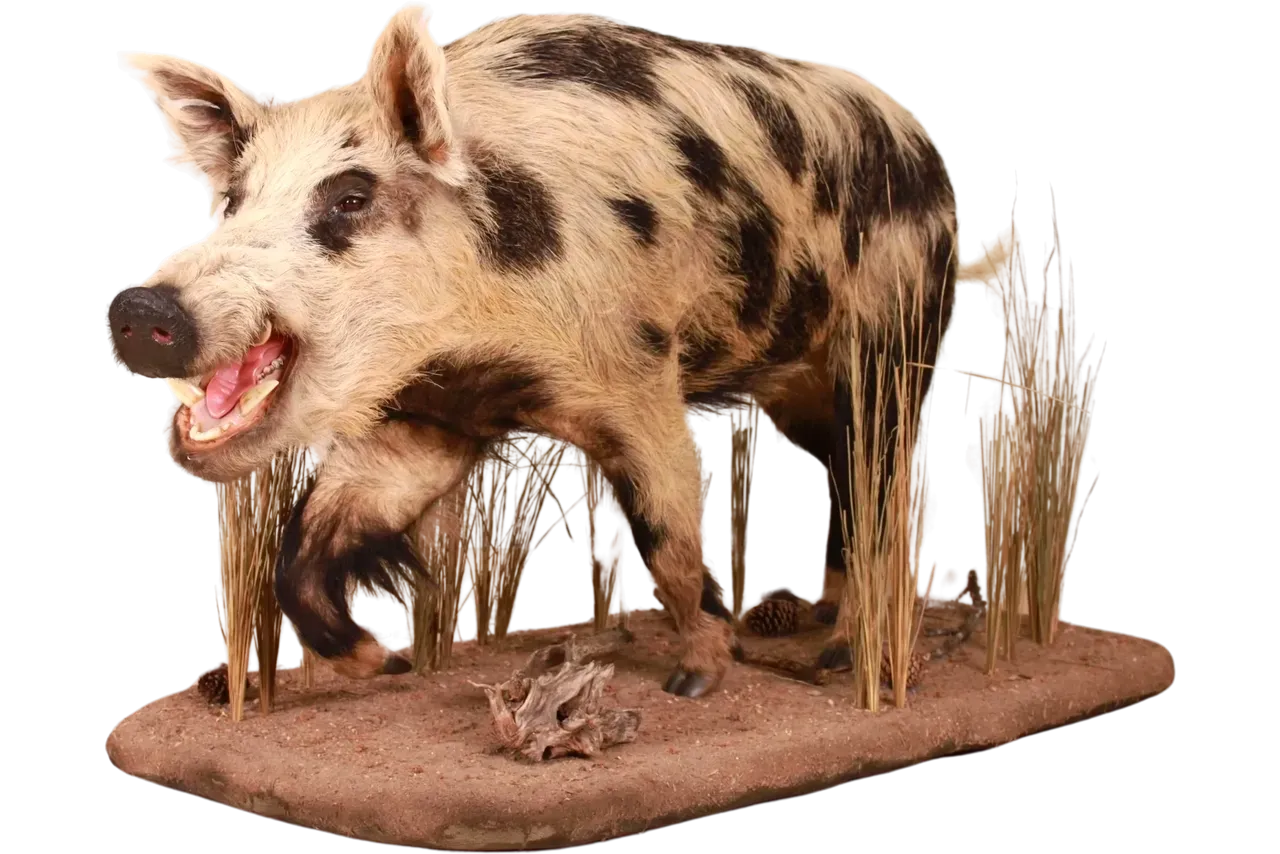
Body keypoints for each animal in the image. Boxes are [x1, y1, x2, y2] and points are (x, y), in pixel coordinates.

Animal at [109, 4, 1007, 698]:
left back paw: (840, 657)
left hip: (889, 342)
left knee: (893, 488)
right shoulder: (429, 419)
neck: (483, 345)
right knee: (846, 481)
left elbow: (668, 531)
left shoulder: (638, 373)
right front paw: (386, 665)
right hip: (798, 390)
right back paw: (814, 616)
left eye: (350, 198)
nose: (140, 306)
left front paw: (696, 680)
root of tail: (928, 156)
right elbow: (302, 549)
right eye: (232, 200)